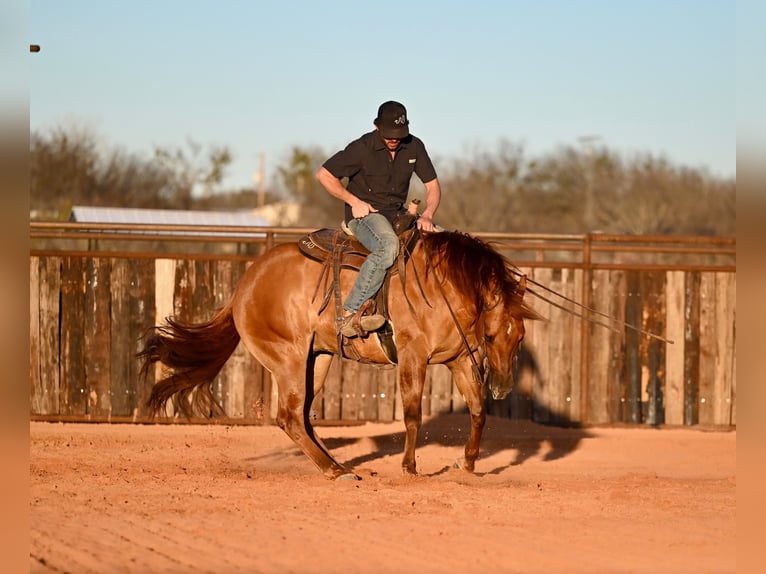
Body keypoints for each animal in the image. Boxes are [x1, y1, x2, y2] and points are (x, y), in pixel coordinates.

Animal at [138, 231, 540, 482]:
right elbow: (412, 416)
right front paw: (409, 468)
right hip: (289, 359)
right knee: (289, 417)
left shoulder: (459, 360)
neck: (441, 284)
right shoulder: (413, 356)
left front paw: (468, 462)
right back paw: (335, 471)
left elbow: (478, 411)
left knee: (303, 417)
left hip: (318, 359)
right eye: (491, 335)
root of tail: (244, 286)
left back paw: (337, 465)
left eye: (520, 336)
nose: (503, 387)